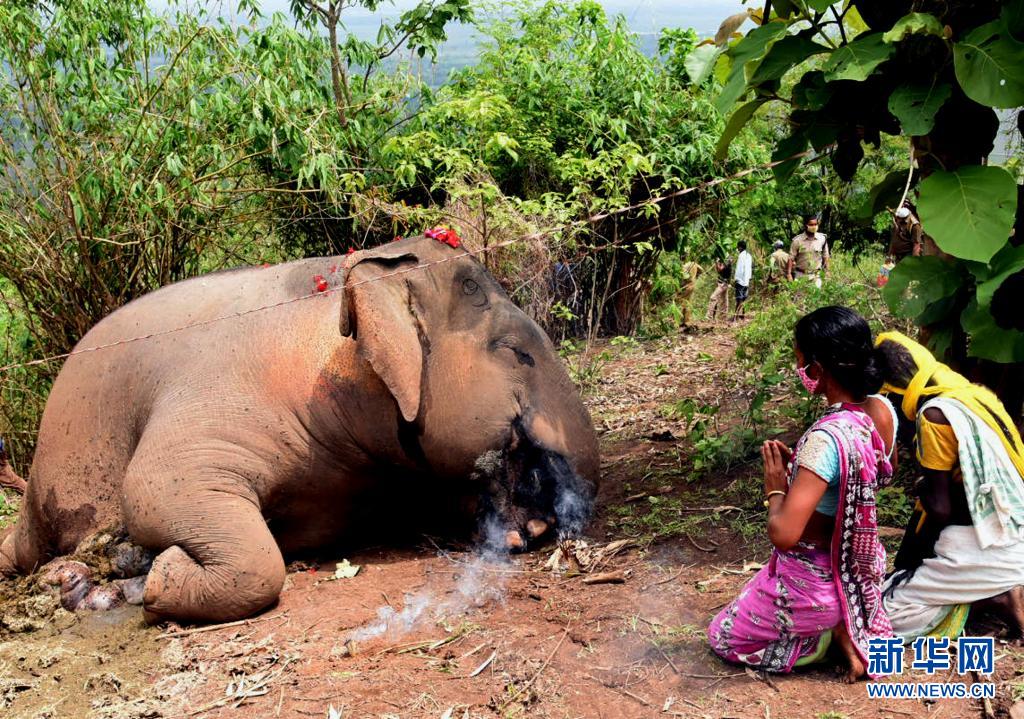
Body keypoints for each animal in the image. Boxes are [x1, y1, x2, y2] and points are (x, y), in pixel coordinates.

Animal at [0, 234, 600, 623]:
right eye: (516, 352)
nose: (557, 521)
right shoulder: (217, 394)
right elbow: (151, 490)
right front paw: (159, 570)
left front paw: (523, 529)